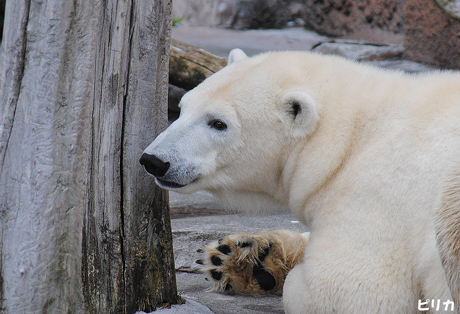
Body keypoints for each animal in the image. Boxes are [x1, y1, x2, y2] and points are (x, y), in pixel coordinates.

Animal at [140, 50, 460, 312]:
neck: (350, 139)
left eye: (219, 123)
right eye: (182, 108)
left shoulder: (379, 193)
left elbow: (346, 290)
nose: (154, 160)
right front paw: (244, 256)